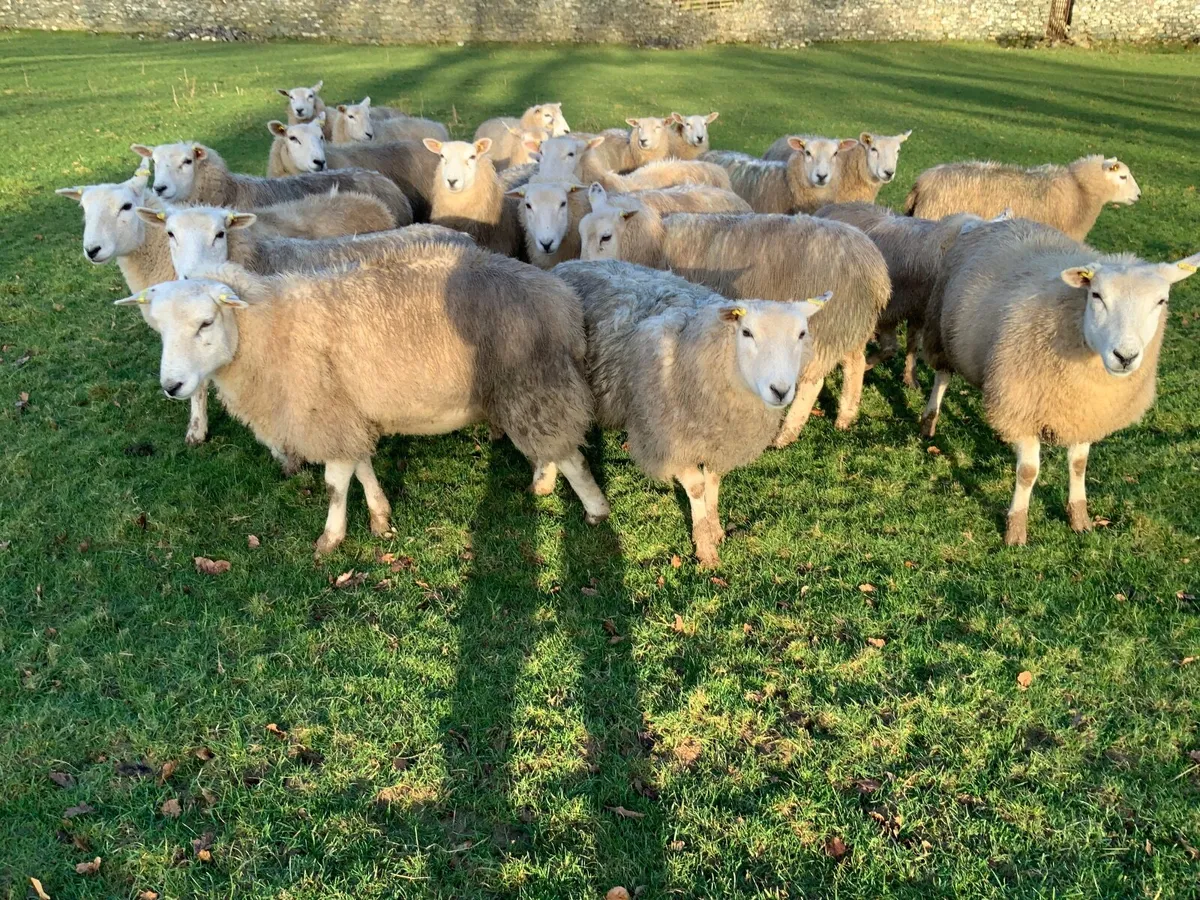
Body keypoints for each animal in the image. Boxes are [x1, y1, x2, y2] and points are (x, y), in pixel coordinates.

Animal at [113, 243, 611, 553]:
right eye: (159, 328)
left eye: (205, 323)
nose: (172, 387)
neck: (270, 329)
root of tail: (563, 301)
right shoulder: (346, 412)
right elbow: (361, 466)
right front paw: (379, 517)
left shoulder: (324, 413)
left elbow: (336, 483)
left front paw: (330, 539)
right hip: (526, 387)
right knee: (551, 447)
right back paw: (543, 482)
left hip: (533, 380)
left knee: (570, 455)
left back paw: (596, 510)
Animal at [554, 260, 827, 566]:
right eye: (747, 333)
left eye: (801, 334)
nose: (780, 390)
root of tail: (570, 262)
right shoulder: (669, 439)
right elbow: (696, 486)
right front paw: (705, 546)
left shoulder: (717, 441)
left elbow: (713, 480)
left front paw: (715, 528)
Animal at [578, 202, 891, 441]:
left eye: (606, 237)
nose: (583, 264)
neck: (655, 242)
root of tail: (875, 269)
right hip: (849, 325)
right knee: (856, 364)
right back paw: (846, 416)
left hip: (824, 327)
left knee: (813, 382)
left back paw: (785, 435)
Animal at [814, 201, 1008, 388]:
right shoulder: (888, 312)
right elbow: (890, 348)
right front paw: (868, 363)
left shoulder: (918, 313)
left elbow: (913, 344)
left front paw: (910, 378)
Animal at [917, 217, 1197, 545]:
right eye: (1097, 296)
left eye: (1161, 300)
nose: (1125, 356)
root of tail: (998, 220)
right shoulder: (1023, 403)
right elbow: (1027, 472)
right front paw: (1016, 528)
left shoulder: (1083, 414)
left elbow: (1078, 466)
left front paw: (1079, 517)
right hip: (940, 329)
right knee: (942, 376)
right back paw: (929, 421)